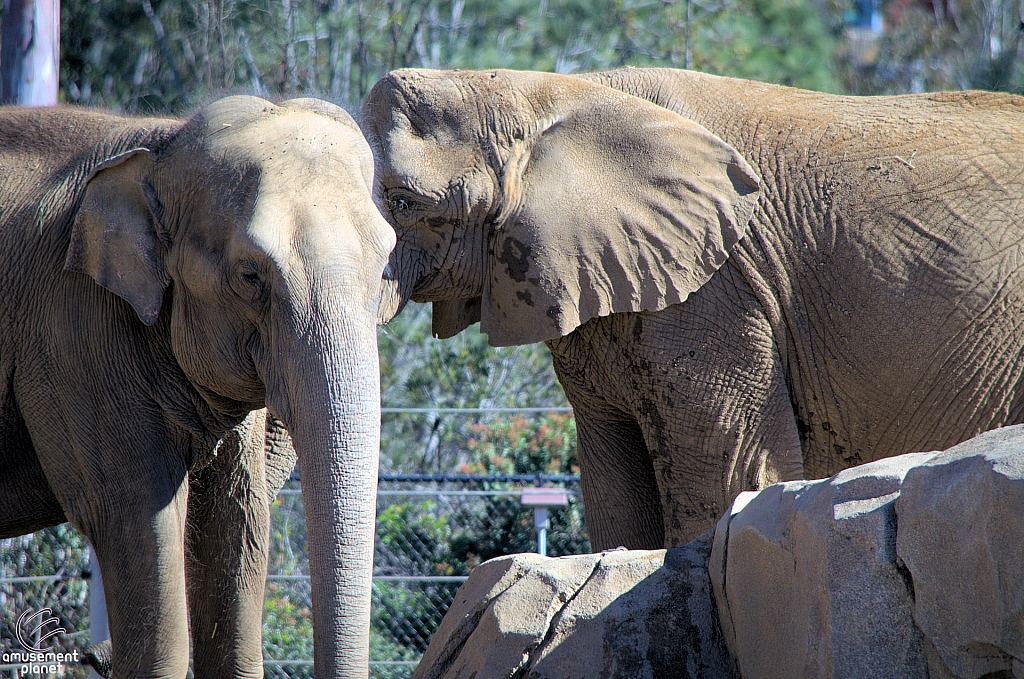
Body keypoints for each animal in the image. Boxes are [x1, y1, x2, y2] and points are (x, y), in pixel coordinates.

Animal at [0, 96, 393, 679]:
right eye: (250, 276)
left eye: (386, 264)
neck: (162, 143)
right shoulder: (71, 336)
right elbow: (140, 524)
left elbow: (236, 528)